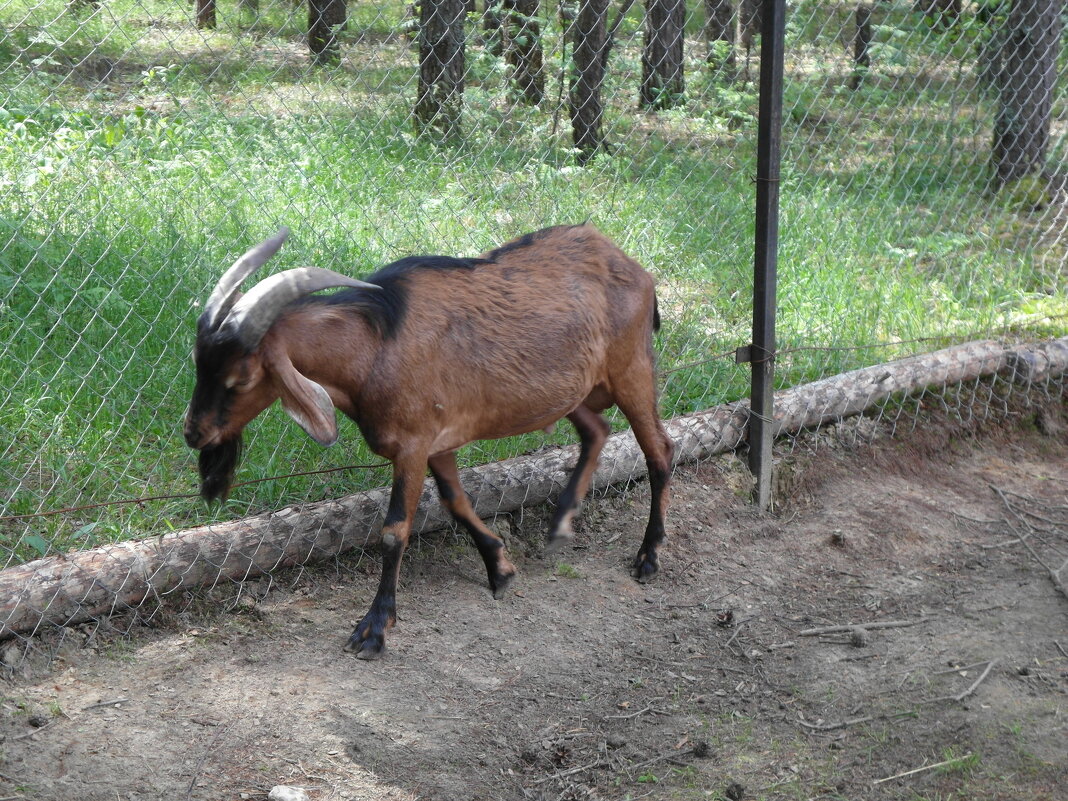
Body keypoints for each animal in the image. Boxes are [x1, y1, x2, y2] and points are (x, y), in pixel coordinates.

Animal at [186, 224, 670, 657]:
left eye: (241, 379)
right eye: (198, 362)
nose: (194, 433)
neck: (376, 345)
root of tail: (632, 266)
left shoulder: (413, 446)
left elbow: (394, 531)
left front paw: (374, 629)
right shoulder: (438, 444)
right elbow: (456, 502)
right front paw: (500, 568)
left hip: (631, 370)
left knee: (658, 451)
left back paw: (648, 557)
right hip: (573, 390)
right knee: (597, 430)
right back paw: (560, 525)